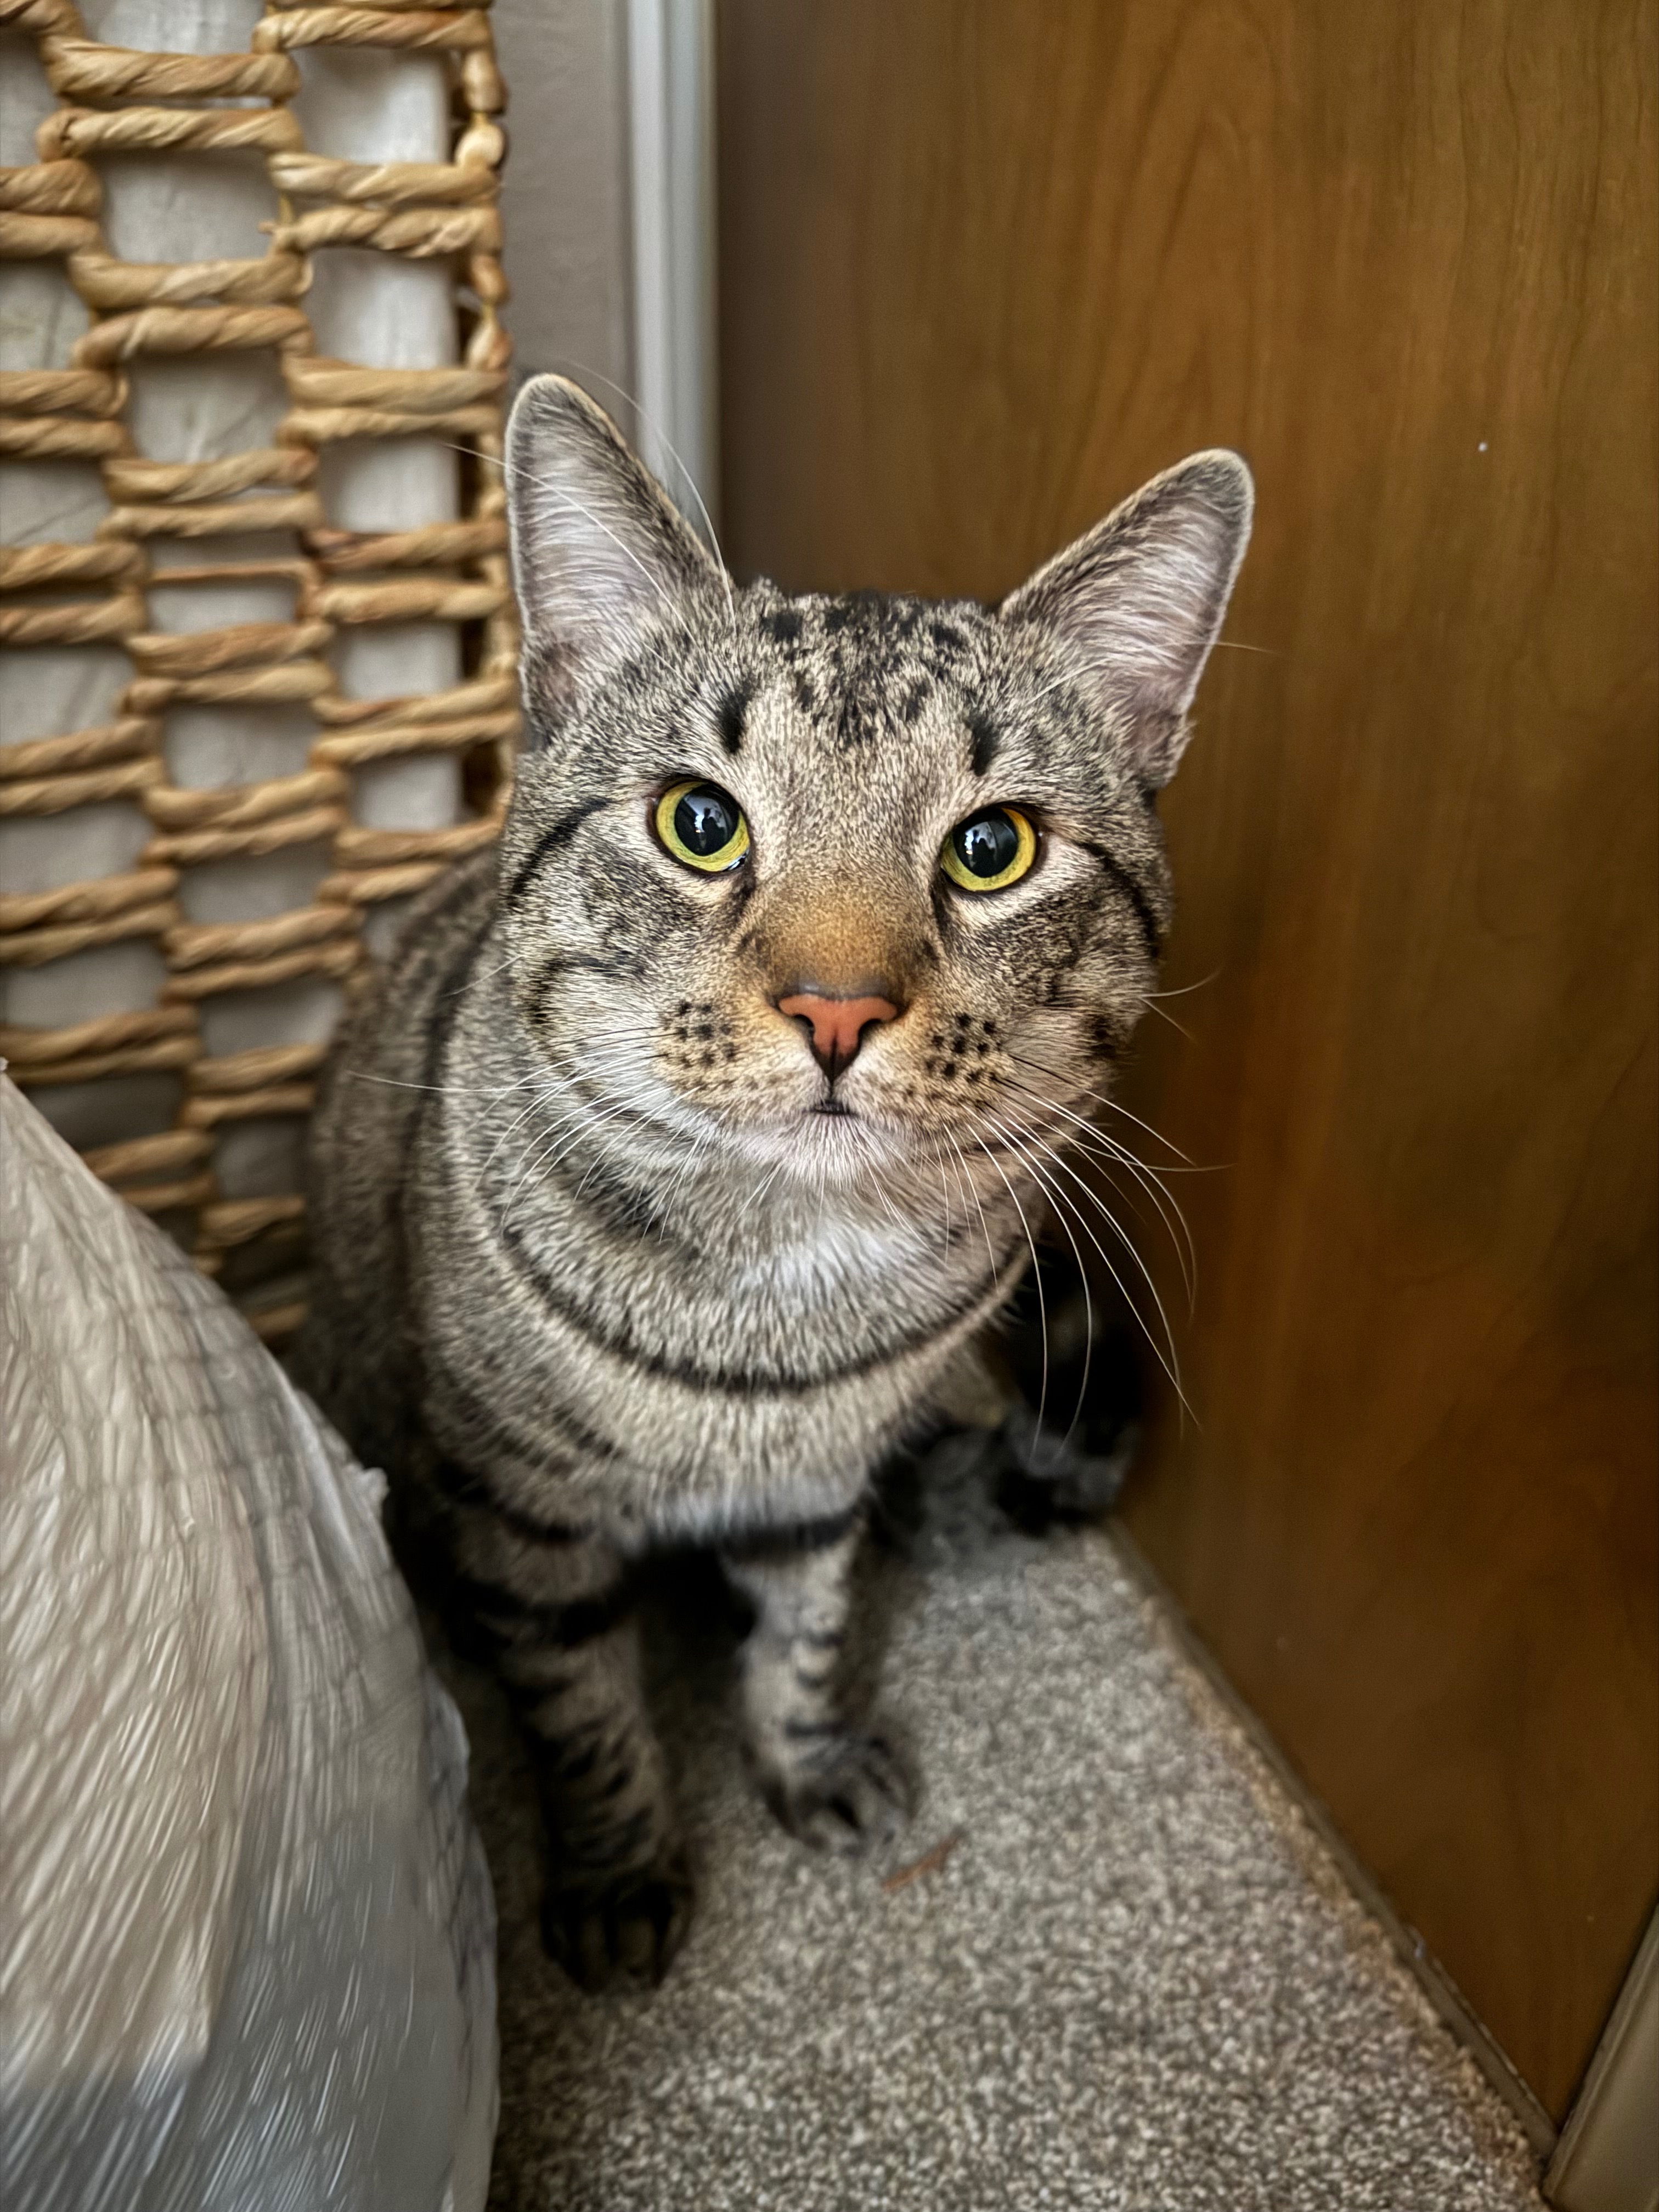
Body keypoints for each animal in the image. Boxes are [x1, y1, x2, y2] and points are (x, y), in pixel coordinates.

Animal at [296, 375, 1251, 1992]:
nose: (837, 1007)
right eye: (701, 820)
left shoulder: (811, 1490)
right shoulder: (526, 1509)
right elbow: (581, 1702)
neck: (781, 1297)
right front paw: (622, 1862)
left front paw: (803, 1755)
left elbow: (802, 1630)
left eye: (993, 848)